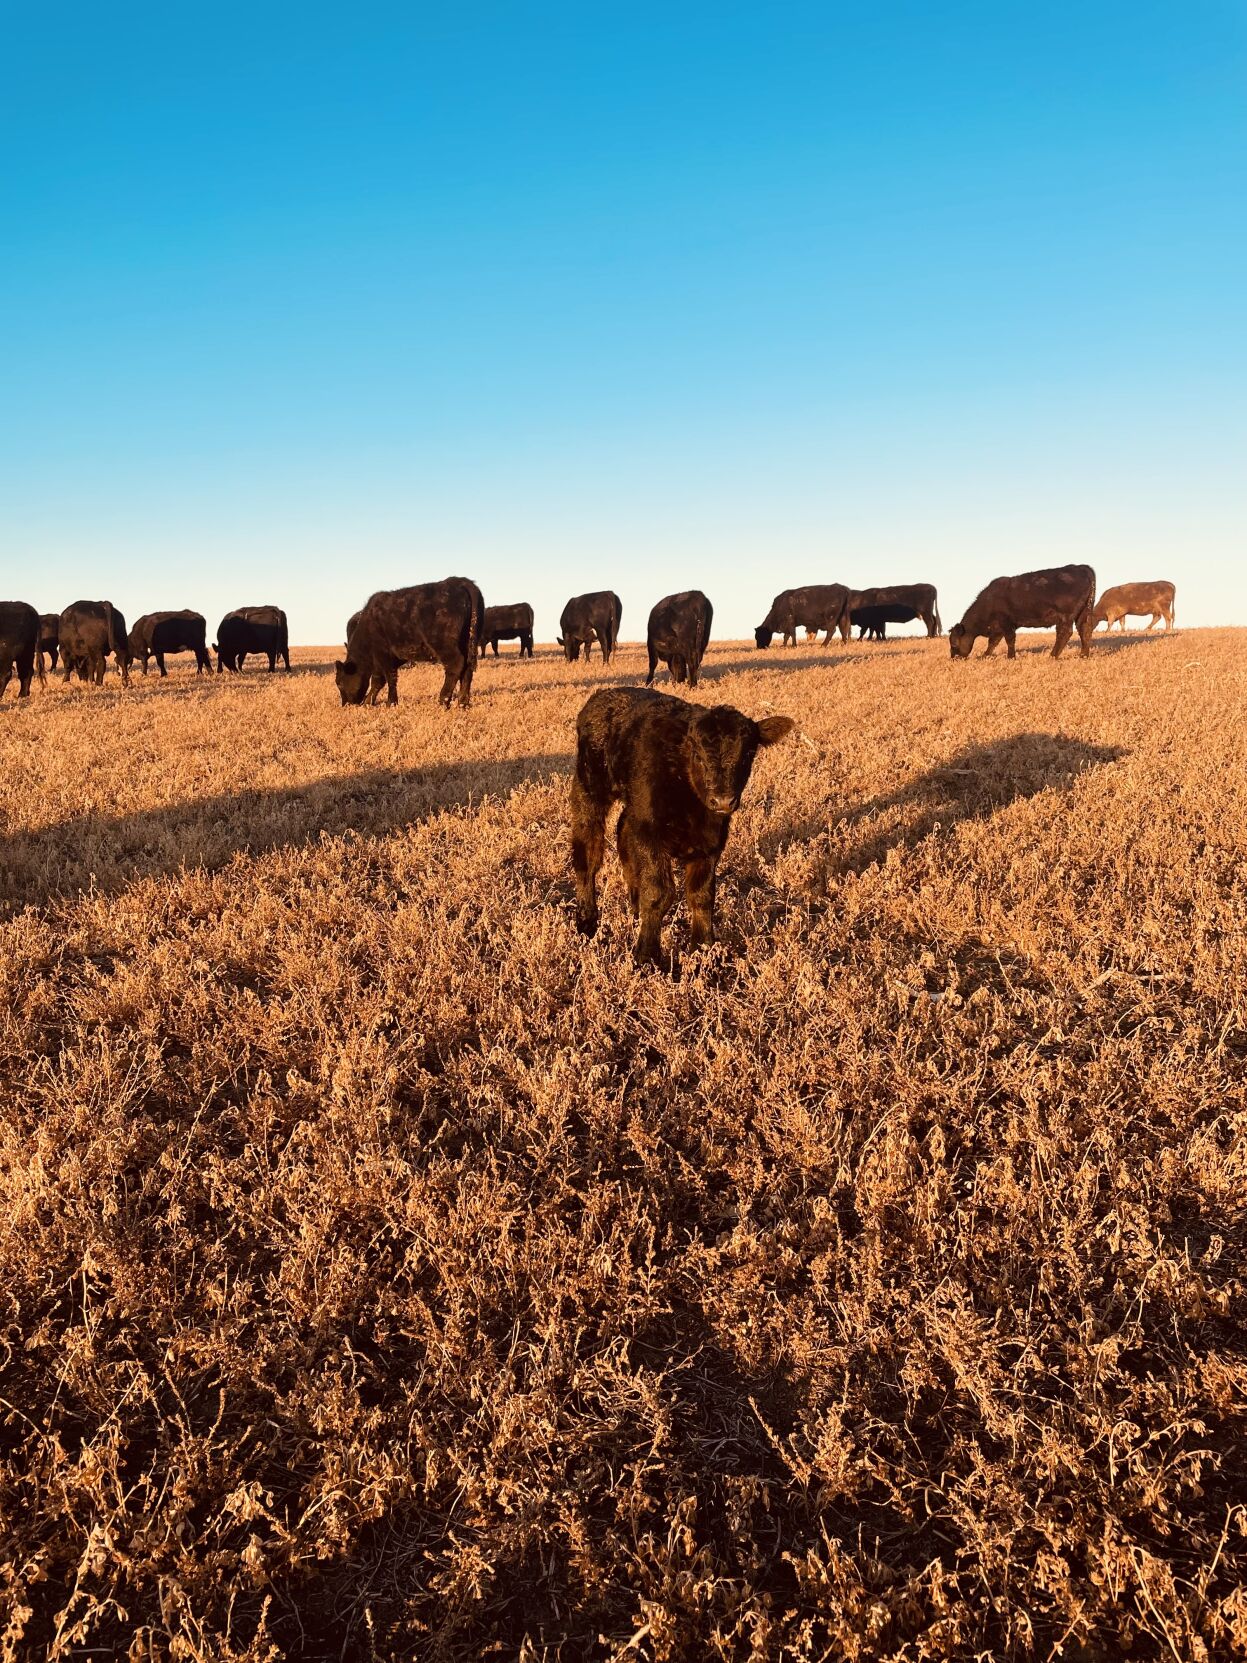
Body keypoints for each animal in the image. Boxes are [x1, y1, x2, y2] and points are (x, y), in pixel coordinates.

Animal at [336, 577, 483, 708]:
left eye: (339, 683)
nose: (345, 704)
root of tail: (459, 581)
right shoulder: (381, 660)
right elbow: (378, 681)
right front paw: (368, 702)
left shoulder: (383, 654)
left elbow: (389, 677)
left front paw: (391, 703)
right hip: (468, 643)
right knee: (467, 669)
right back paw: (463, 703)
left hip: (444, 644)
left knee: (456, 664)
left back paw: (443, 702)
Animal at [571, 687, 795, 967]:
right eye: (697, 754)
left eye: (748, 754)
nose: (723, 800)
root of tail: (603, 696)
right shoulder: (649, 830)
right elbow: (659, 891)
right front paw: (647, 955)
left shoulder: (711, 840)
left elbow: (702, 894)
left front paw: (706, 950)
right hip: (590, 788)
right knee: (588, 852)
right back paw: (587, 921)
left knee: (623, 834)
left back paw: (634, 910)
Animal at [949, 565, 1097, 660]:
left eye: (954, 642)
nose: (953, 658)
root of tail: (1081, 567)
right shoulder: (997, 627)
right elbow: (993, 642)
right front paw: (985, 655)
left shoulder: (1006, 622)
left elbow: (1009, 640)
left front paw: (1010, 657)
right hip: (1084, 613)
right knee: (1085, 630)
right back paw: (1083, 655)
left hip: (1065, 615)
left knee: (1065, 633)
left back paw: (1052, 656)